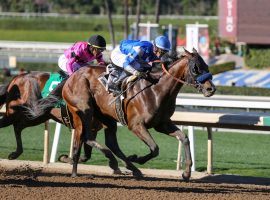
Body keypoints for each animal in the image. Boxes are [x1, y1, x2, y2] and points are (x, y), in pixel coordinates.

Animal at [26, 47, 215, 179]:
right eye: (196, 68)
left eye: (206, 65)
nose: (211, 89)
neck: (157, 89)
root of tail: (70, 79)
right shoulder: (136, 125)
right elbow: (155, 148)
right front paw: (137, 158)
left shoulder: (162, 123)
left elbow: (184, 138)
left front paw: (186, 173)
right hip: (84, 110)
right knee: (85, 137)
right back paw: (80, 168)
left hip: (107, 118)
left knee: (109, 143)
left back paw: (128, 168)